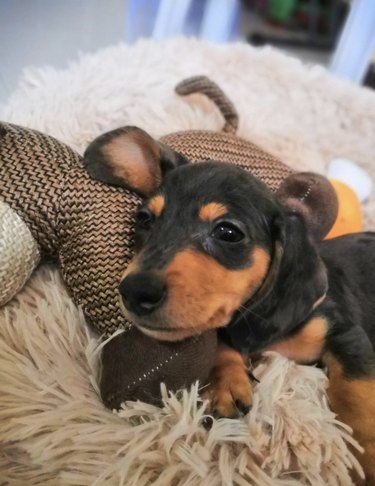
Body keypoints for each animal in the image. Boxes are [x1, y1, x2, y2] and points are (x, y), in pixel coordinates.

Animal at [84, 125, 375, 482]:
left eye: (228, 232)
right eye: (145, 219)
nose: (134, 291)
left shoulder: (346, 335)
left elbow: (355, 397)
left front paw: (368, 459)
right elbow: (220, 339)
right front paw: (227, 382)